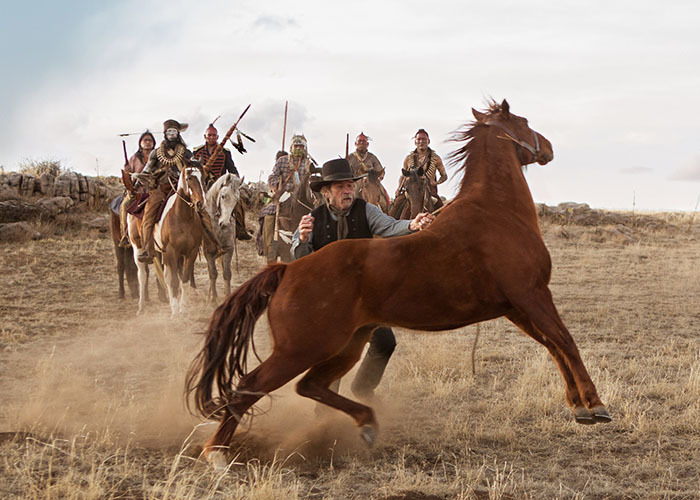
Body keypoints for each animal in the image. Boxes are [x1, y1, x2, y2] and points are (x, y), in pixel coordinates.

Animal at [157, 168, 205, 314]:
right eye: (189, 178)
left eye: (203, 178)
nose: (200, 204)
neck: (182, 218)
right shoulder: (171, 252)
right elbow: (174, 281)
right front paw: (175, 311)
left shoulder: (191, 252)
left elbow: (184, 279)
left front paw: (182, 307)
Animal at [205, 172, 243, 302]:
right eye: (223, 196)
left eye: (237, 199)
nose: (225, 223)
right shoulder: (209, 252)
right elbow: (213, 273)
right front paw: (213, 298)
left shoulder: (228, 249)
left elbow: (226, 273)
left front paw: (227, 295)